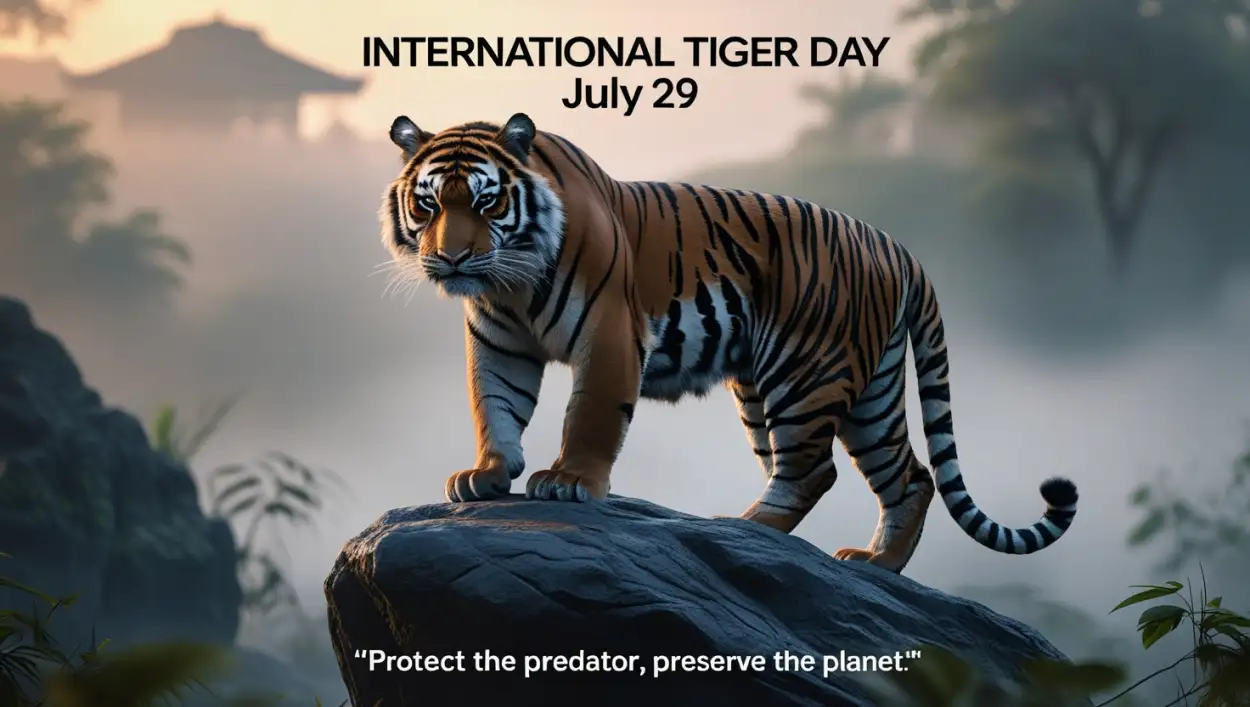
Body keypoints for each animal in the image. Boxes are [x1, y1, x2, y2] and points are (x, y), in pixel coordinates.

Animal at [378, 111, 1079, 573]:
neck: (509, 283)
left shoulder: (610, 332)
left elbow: (591, 415)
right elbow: (493, 407)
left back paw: (743, 527)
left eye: (488, 203)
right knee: (910, 475)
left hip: (804, 373)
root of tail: (898, 247)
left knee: (812, 469)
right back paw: (876, 562)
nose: (452, 257)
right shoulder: (499, 342)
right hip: (864, 392)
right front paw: (487, 476)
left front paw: (569, 481)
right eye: (429, 204)